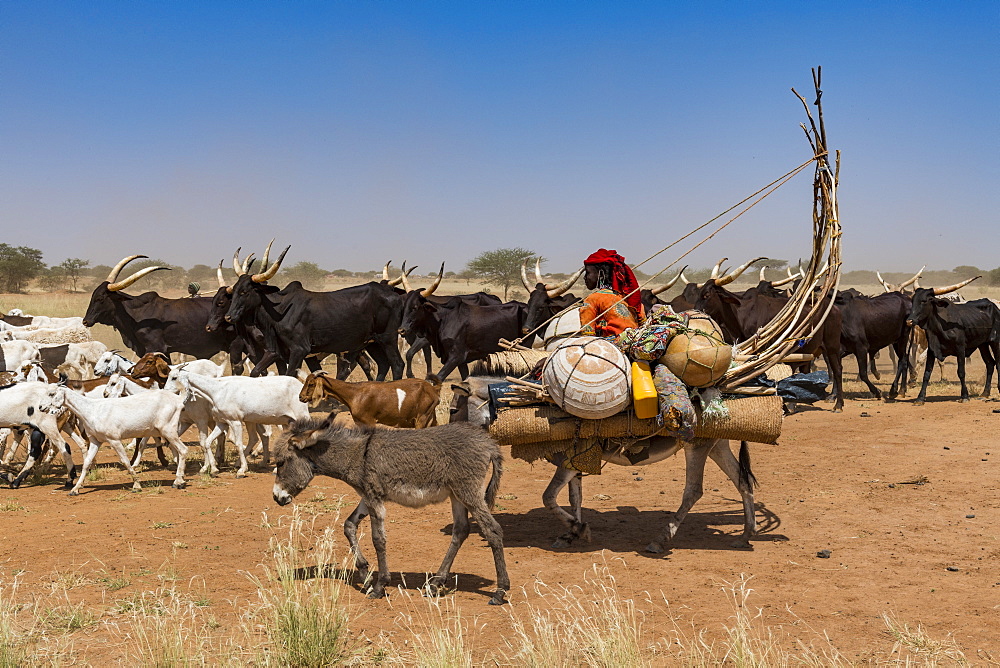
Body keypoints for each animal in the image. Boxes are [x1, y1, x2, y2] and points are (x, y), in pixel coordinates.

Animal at [40, 384, 188, 494]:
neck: (92, 410)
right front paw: (75, 489)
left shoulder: (114, 440)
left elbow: (125, 461)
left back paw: (178, 483)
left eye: (52, 394)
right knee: (176, 451)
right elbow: (87, 463)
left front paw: (136, 485)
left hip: (168, 430)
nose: (40, 407)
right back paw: (180, 479)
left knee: (183, 450)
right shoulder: (95, 441)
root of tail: (177, 399)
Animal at [84, 254, 252, 370]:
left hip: (236, 347)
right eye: (93, 296)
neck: (135, 315)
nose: (85, 321)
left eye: (100, 298)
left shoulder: (156, 348)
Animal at [177, 374, 308, 478]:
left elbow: (237, 444)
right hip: (276, 422)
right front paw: (213, 469)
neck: (217, 390)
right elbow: (206, 442)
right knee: (262, 437)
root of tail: (300, 386)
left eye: (175, 378)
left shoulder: (228, 421)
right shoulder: (221, 422)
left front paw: (241, 470)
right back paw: (267, 464)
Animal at [300, 370, 442, 428]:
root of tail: (433, 389)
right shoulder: (359, 422)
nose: (301, 397)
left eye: (311, 384)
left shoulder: (369, 421)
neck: (355, 394)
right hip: (430, 417)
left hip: (421, 417)